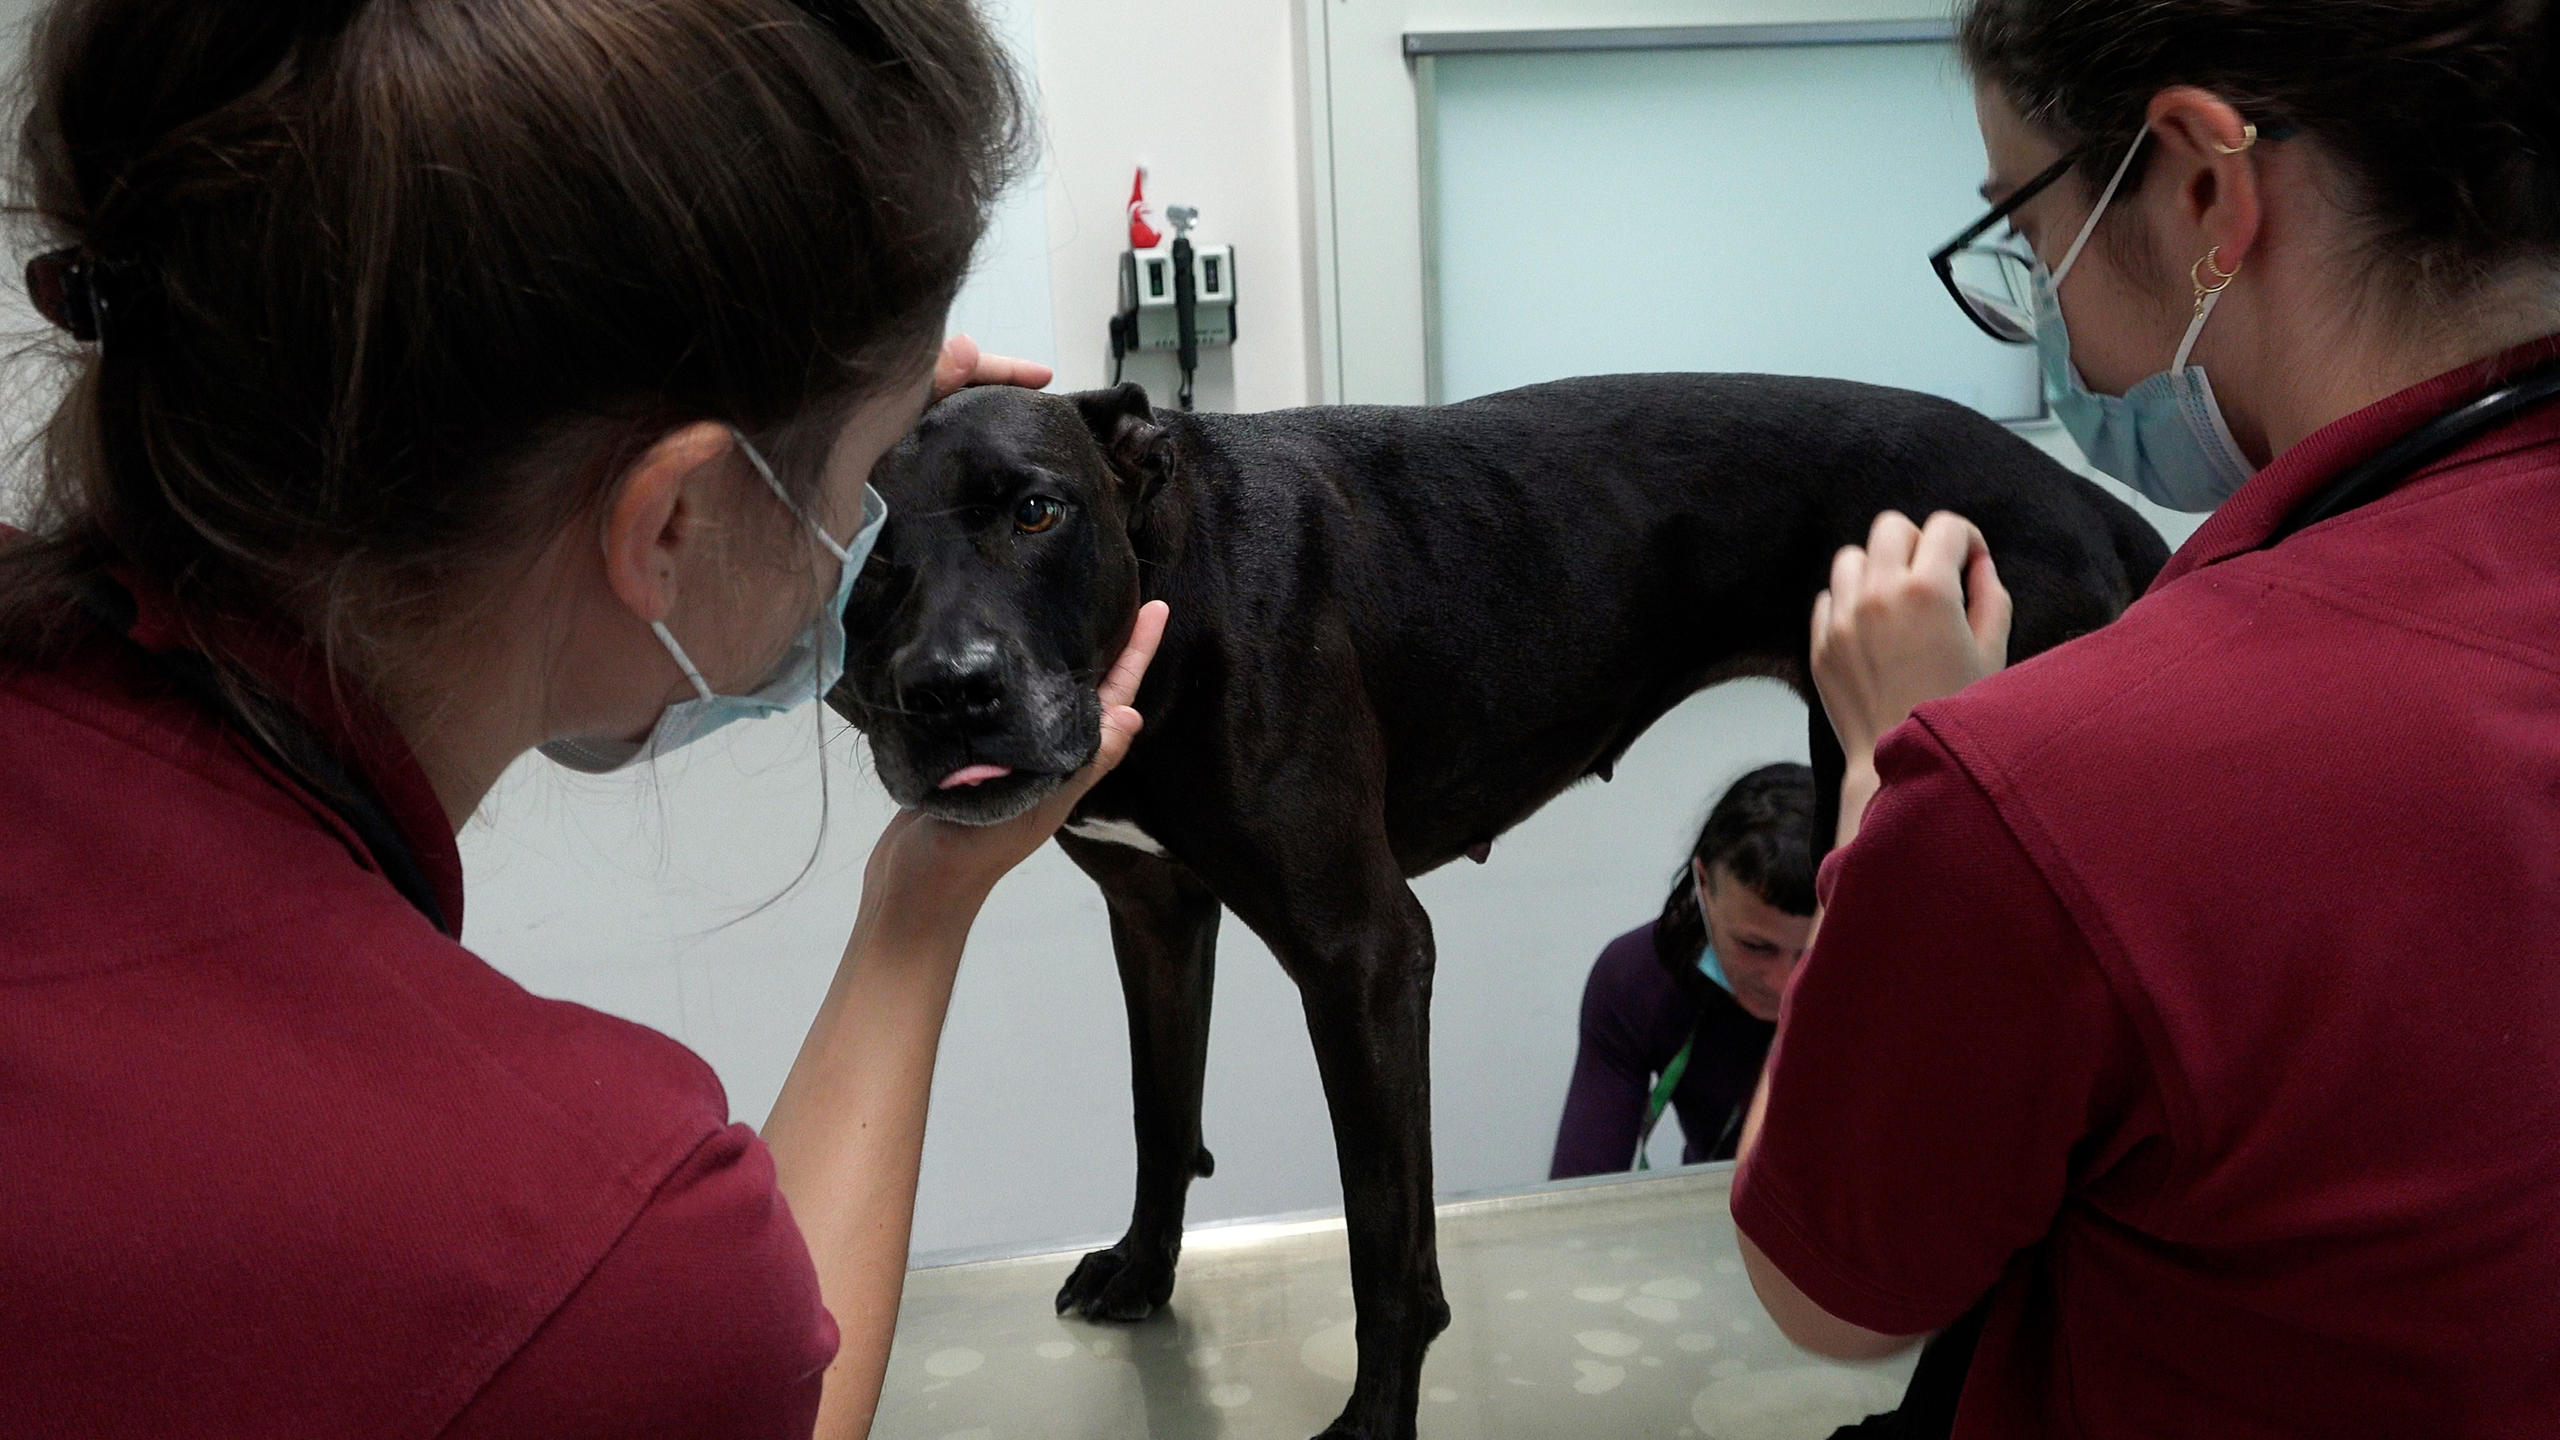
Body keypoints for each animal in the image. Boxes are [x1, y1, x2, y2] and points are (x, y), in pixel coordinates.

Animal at [829, 376, 2170, 1434]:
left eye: (1035, 512)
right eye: (870, 564)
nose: (949, 694)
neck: (1169, 569)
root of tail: (2084, 498)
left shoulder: (1364, 954)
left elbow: (1385, 1248)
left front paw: (1375, 1425)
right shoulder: (1155, 917)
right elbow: (1162, 1116)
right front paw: (1147, 1271)